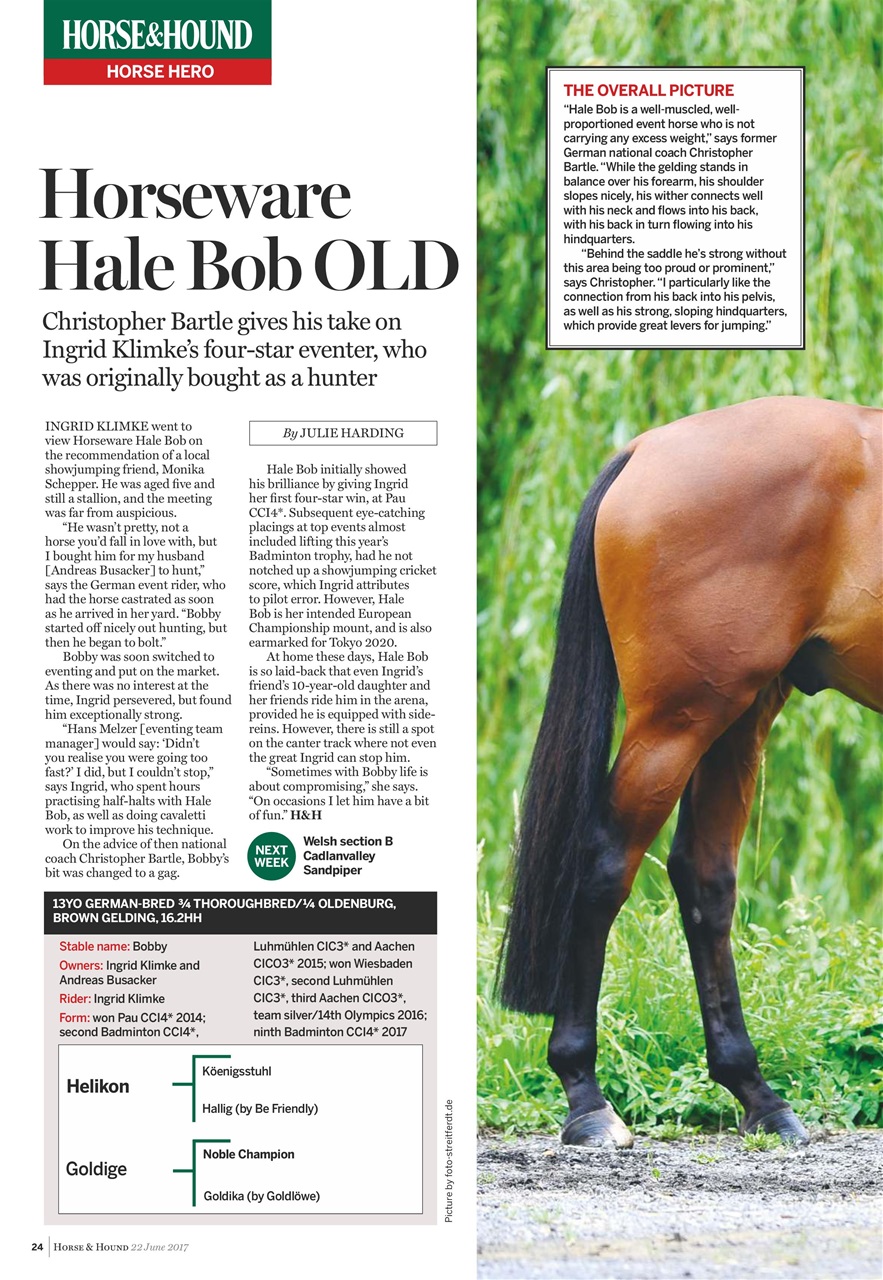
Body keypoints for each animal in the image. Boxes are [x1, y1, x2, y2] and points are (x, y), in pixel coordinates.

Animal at [498, 396, 882, 1148]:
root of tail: (645, 450)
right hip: (680, 720)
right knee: (605, 866)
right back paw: (587, 1100)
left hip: (739, 712)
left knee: (704, 877)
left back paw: (758, 1095)